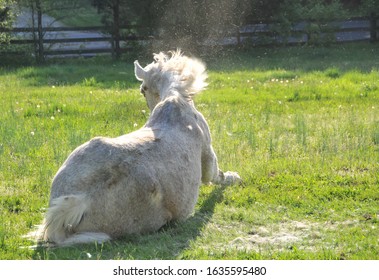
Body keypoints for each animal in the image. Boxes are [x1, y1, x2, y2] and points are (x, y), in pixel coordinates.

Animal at [27, 50, 240, 247]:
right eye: (142, 90)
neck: (175, 104)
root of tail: (80, 201)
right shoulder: (208, 156)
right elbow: (216, 176)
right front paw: (235, 177)